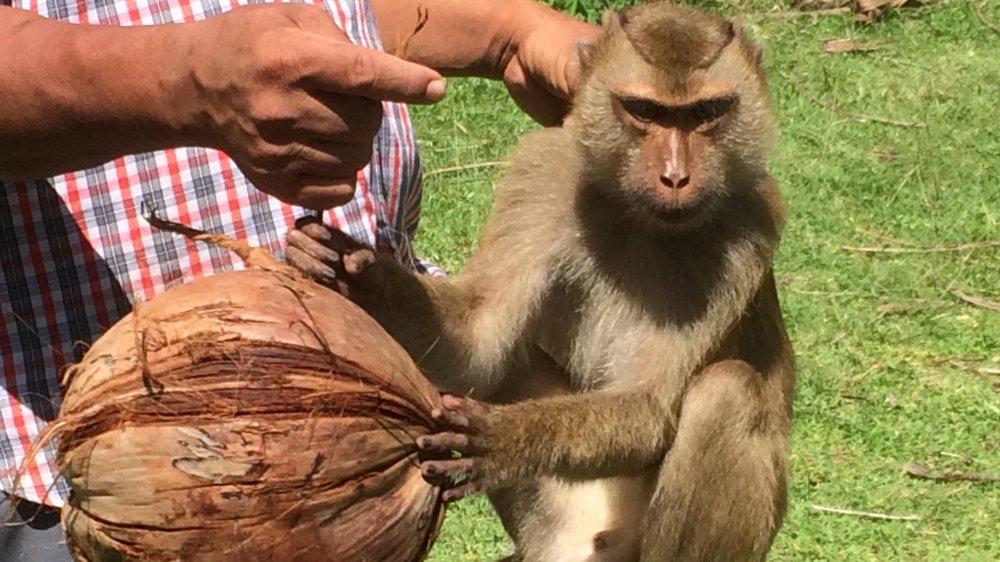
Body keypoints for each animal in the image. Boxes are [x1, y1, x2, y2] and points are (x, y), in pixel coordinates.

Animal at [288, 2, 796, 556]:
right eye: (645, 111)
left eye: (706, 113)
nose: (676, 176)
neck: (639, 217)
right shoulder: (546, 174)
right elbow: (478, 342)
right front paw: (356, 272)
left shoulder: (749, 223)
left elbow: (647, 408)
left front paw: (506, 440)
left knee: (729, 391)